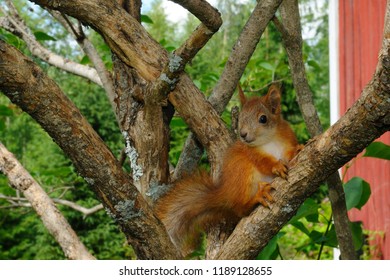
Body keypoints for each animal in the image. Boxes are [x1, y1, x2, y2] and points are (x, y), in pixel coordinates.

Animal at [155, 84, 302, 255]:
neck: (269, 140)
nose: (243, 134)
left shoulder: (287, 139)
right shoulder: (252, 154)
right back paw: (257, 197)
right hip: (243, 173)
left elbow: (290, 153)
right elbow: (264, 163)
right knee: (241, 209)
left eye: (263, 118)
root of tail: (226, 194)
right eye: (240, 118)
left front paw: (299, 149)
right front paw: (276, 166)